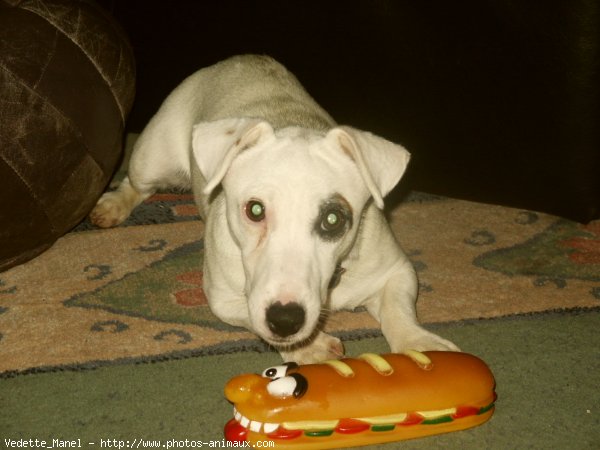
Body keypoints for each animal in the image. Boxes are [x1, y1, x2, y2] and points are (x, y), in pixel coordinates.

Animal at [89, 54, 458, 364]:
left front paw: (419, 345)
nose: (285, 319)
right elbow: (253, 318)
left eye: (333, 218)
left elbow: (399, 311)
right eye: (254, 210)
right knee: (136, 183)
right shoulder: (224, 298)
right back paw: (112, 204)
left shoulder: (396, 271)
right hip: (152, 156)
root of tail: (239, 58)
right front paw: (309, 347)